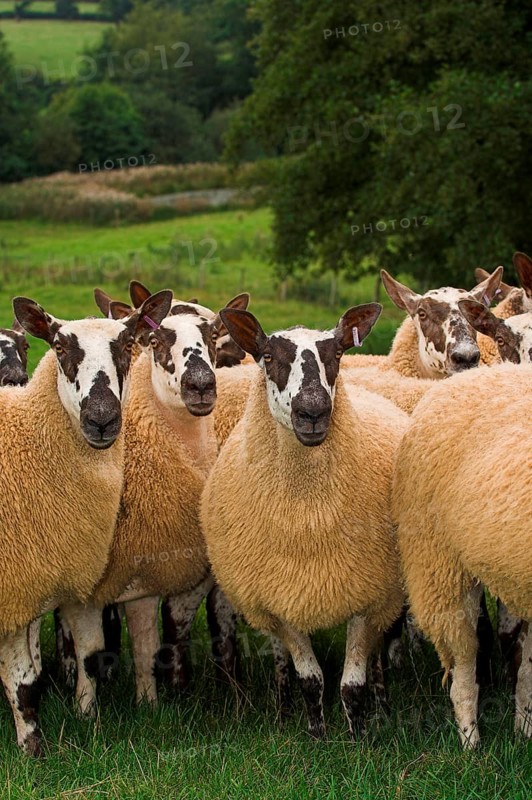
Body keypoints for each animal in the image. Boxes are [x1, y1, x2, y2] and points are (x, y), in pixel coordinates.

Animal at [0, 290, 171, 755]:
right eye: (59, 347)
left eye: (128, 343)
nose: (101, 418)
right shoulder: (13, 589)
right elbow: (21, 681)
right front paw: (33, 753)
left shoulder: (31, 583)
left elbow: (31, 675)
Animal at [201, 304, 409, 737]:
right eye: (266, 356)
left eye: (338, 354)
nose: (312, 411)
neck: (309, 518)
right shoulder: (281, 599)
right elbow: (311, 679)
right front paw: (316, 734)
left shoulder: (366, 595)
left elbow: (352, 684)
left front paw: (357, 737)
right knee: (282, 659)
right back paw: (283, 709)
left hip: (387, 595)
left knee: (378, 653)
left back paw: (382, 706)